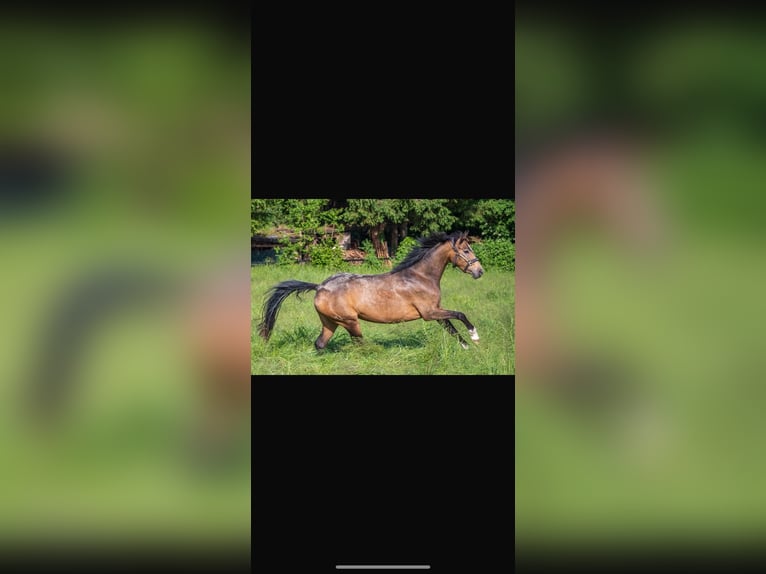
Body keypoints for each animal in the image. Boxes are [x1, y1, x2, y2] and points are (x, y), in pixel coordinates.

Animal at [257, 231, 485, 350]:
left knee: (320, 344)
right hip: (350, 321)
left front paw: (466, 347)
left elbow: (450, 327)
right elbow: (459, 315)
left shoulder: (434, 312)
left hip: (330, 322)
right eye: (466, 250)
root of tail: (320, 286)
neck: (420, 277)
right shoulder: (429, 313)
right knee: (359, 344)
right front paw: (474, 336)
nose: (479, 271)